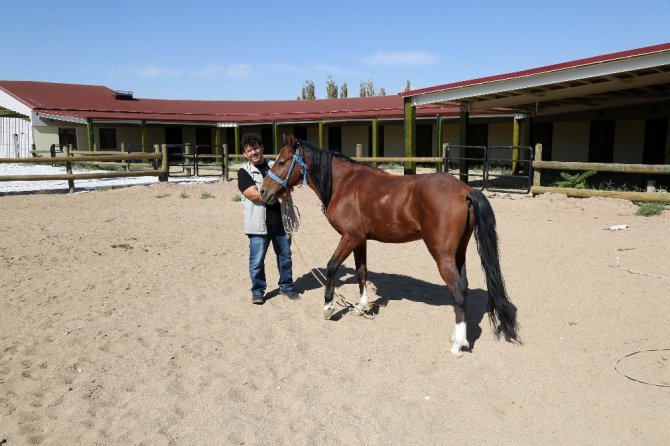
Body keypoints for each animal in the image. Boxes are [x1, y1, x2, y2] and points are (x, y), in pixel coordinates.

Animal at [262, 135, 520, 356]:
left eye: (282, 162)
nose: (264, 191)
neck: (345, 184)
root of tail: (465, 190)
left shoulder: (349, 237)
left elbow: (331, 266)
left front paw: (328, 308)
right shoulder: (360, 239)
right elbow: (362, 272)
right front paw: (362, 307)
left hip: (442, 255)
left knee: (456, 290)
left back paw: (457, 345)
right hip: (459, 253)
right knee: (463, 287)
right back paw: (460, 338)